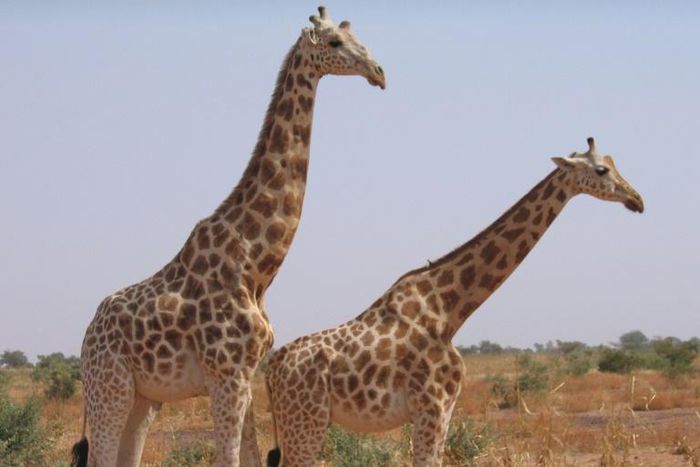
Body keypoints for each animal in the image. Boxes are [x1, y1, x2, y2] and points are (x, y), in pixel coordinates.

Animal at [71, 7, 385, 467]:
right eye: (333, 43)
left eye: (358, 38)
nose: (379, 72)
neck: (257, 266)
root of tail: (87, 334)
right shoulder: (225, 375)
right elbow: (230, 457)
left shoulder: (245, 374)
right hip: (108, 386)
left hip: (144, 397)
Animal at [265, 138, 644, 467]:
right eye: (601, 170)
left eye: (614, 163)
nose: (637, 200)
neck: (451, 310)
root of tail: (272, 368)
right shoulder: (432, 407)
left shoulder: (443, 409)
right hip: (306, 421)